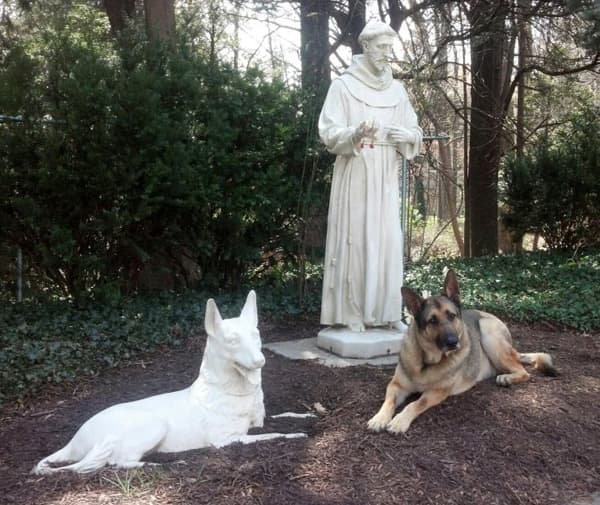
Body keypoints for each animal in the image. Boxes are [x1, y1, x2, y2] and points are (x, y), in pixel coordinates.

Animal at [366, 270, 556, 432]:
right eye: (432, 321)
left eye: (451, 316)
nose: (453, 342)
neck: (426, 362)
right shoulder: (396, 386)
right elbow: (388, 401)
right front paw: (379, 418)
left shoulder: (437, 392)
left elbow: (416, 404)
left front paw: (400, 420)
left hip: (489, 334)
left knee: (523, 371)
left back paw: (507, 378)